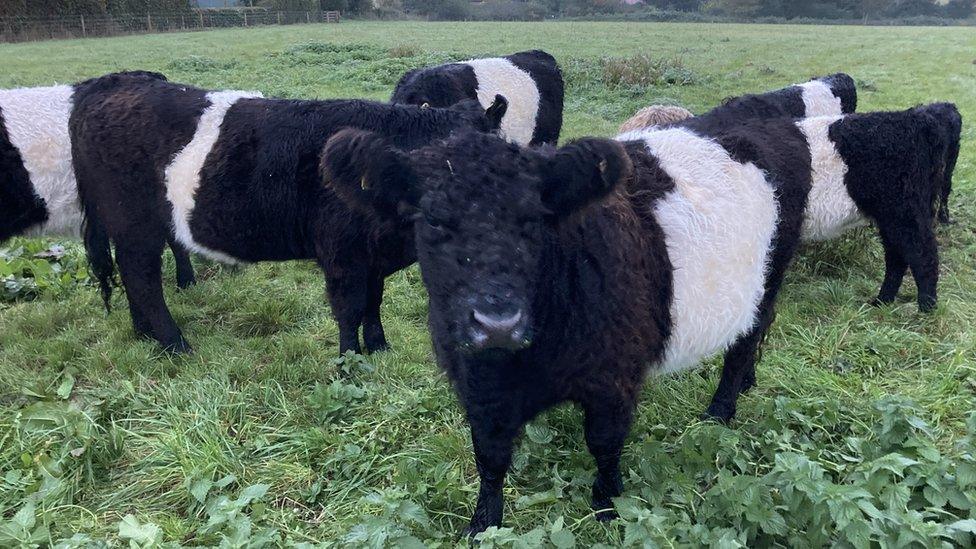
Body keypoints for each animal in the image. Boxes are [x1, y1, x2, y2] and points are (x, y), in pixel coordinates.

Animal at [72, 71, 508, 352]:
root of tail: (109, 85)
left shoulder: (372, 257)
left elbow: (373, 303)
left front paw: (380, 347)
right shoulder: (342, 254)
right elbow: (350, 309)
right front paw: (350, 361)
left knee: (133, 278)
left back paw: (145, 335)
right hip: (135, 224)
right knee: (143, 280)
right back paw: (174, 344)